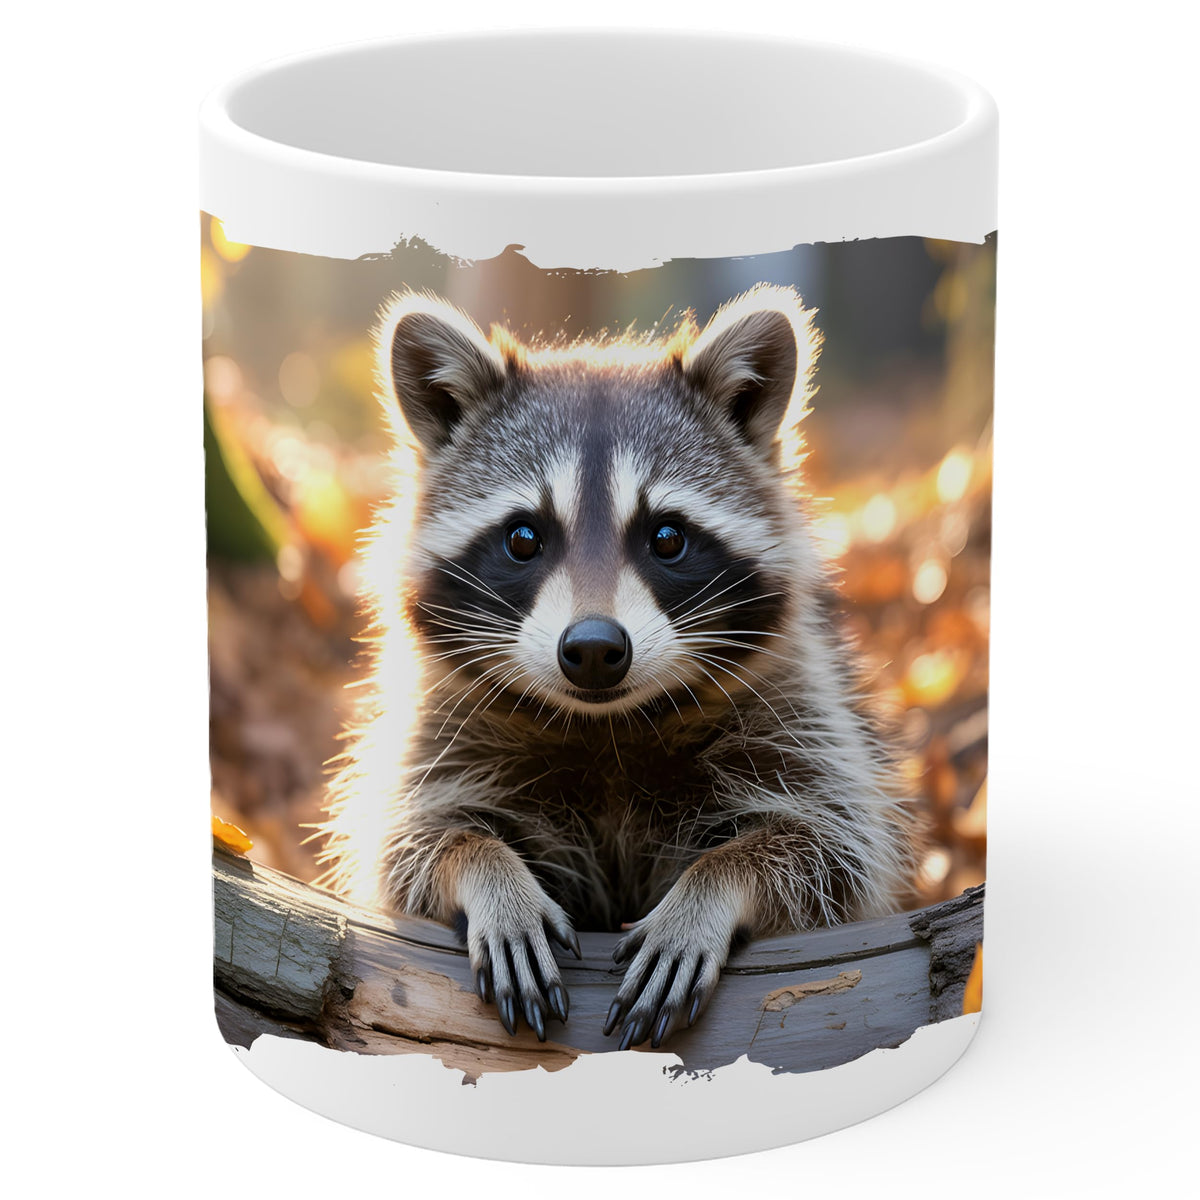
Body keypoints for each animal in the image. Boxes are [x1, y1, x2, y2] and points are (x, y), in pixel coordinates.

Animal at [319, 284, 915, 1051]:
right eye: (523, 537)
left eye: (667, 537)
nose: (596, 647)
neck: (604, 724)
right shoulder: (444, 726)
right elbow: (415, 840)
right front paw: (488, 873)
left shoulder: (797, 708)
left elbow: (829, 848)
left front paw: (712, 886)